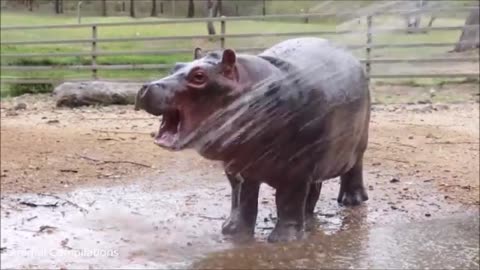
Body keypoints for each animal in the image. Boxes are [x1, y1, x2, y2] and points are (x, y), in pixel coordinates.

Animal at [135, 37, 372, 242]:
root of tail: (350, 55)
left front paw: (283, 240)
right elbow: (243, 198)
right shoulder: (241, 167)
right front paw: (233, 232)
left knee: (354, 169)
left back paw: (351, 201)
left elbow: (288, 199)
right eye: (176, 66)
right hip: (319, 157)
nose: (146, 87)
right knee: (314, 188)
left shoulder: (297, 169)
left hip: (358, 145)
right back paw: (307, 217)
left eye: (199, 76)